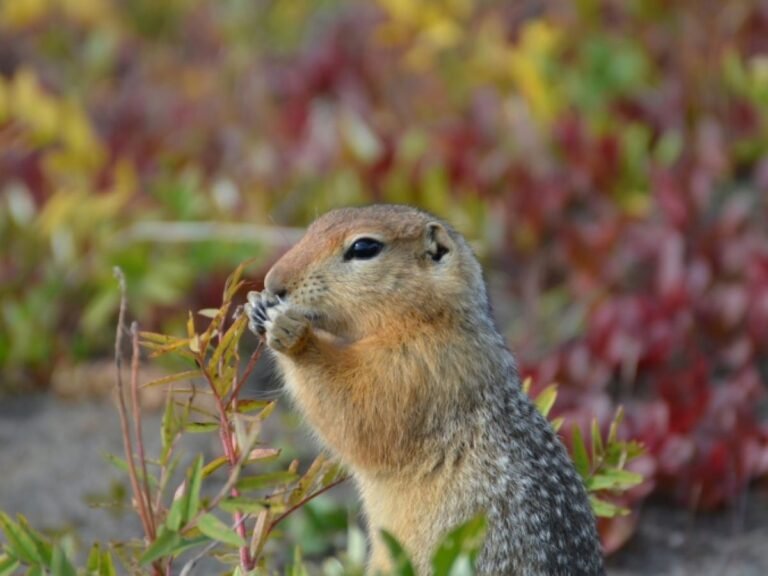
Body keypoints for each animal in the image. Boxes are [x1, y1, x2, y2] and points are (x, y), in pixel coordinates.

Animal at [245, 205, 605, 575]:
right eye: (315, 226)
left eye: (364, 247)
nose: (273, 283)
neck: (432, 319)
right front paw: (256, 306)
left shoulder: (420, 366)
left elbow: (360, 409)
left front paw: (290, 331)